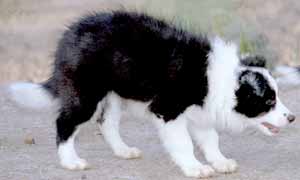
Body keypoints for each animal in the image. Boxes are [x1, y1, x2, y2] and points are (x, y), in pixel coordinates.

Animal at [8, 11, 296, 179]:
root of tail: (68, 37)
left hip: (113, 94)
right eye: (269, 101)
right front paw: (194, 167)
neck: (221, 79)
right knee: (65, 123)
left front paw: (220, 162)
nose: (292, 118)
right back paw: (71, 162)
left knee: (107, 123)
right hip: (86, 94)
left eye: (277, 97)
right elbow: (183, 142)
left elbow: (210, 139)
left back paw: (123, 151)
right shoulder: (168, 110)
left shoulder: (199, 111)